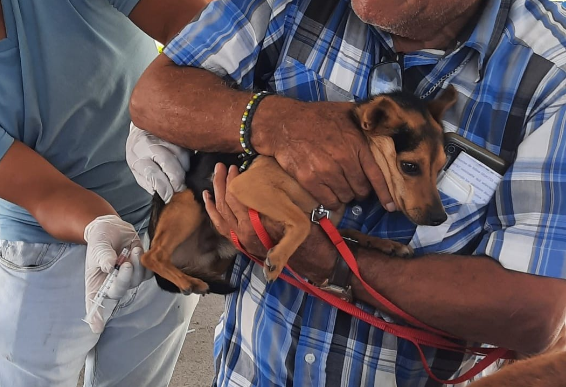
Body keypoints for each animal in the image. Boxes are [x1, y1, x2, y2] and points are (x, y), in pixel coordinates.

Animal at [144, 86, 460, 296]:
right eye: (409, 166)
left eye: (441, 166)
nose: (439, 218)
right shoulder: (248, 185)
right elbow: (299, 222)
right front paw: (279, 258)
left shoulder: (324, 219)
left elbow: (350, 234)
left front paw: (386, 245)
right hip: (187, 203)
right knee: (152, 257)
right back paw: (187, 281)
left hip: (220, 254)